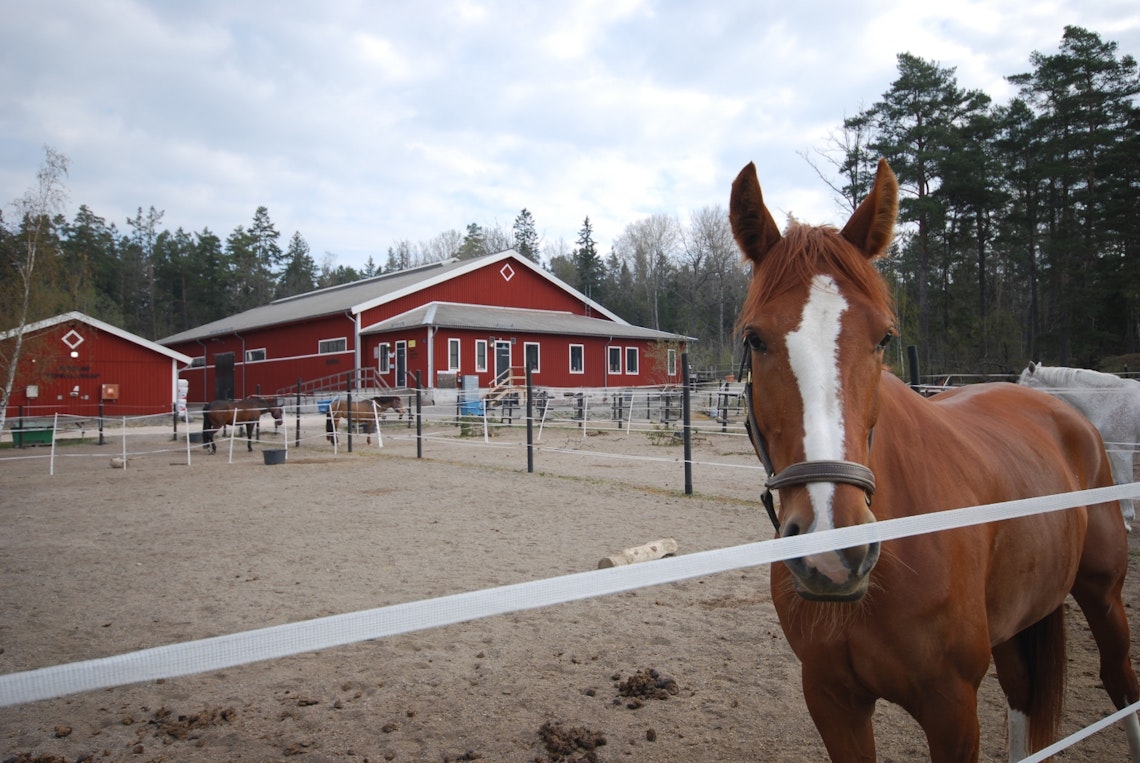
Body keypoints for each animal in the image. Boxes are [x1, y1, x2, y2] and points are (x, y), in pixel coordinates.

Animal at [1021, 362, 1140, 529]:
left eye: (1025, 387)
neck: (1108, 400)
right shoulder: (1112, 450)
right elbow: (1117, 482)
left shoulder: (1122, 451)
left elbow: (1125, 482)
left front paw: (1126, 521)